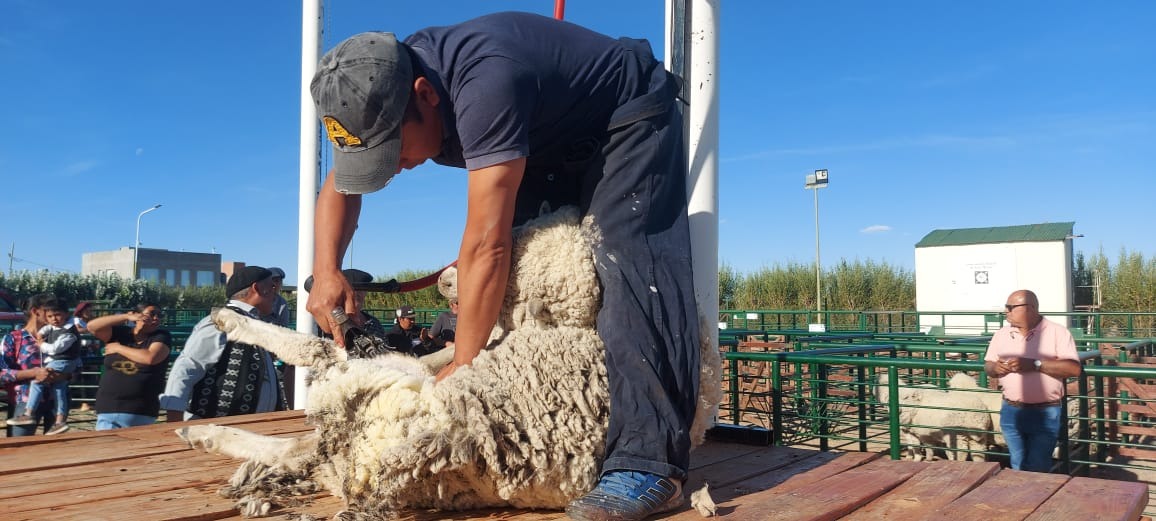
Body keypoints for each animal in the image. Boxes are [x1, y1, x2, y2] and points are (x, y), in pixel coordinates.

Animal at [174, 205, 716, 519]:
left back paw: (226, 336)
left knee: (316, 364)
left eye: (515, 251)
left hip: (369, 387)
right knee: (295, 440)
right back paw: (204, 432)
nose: (445, 280)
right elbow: (444, 349)